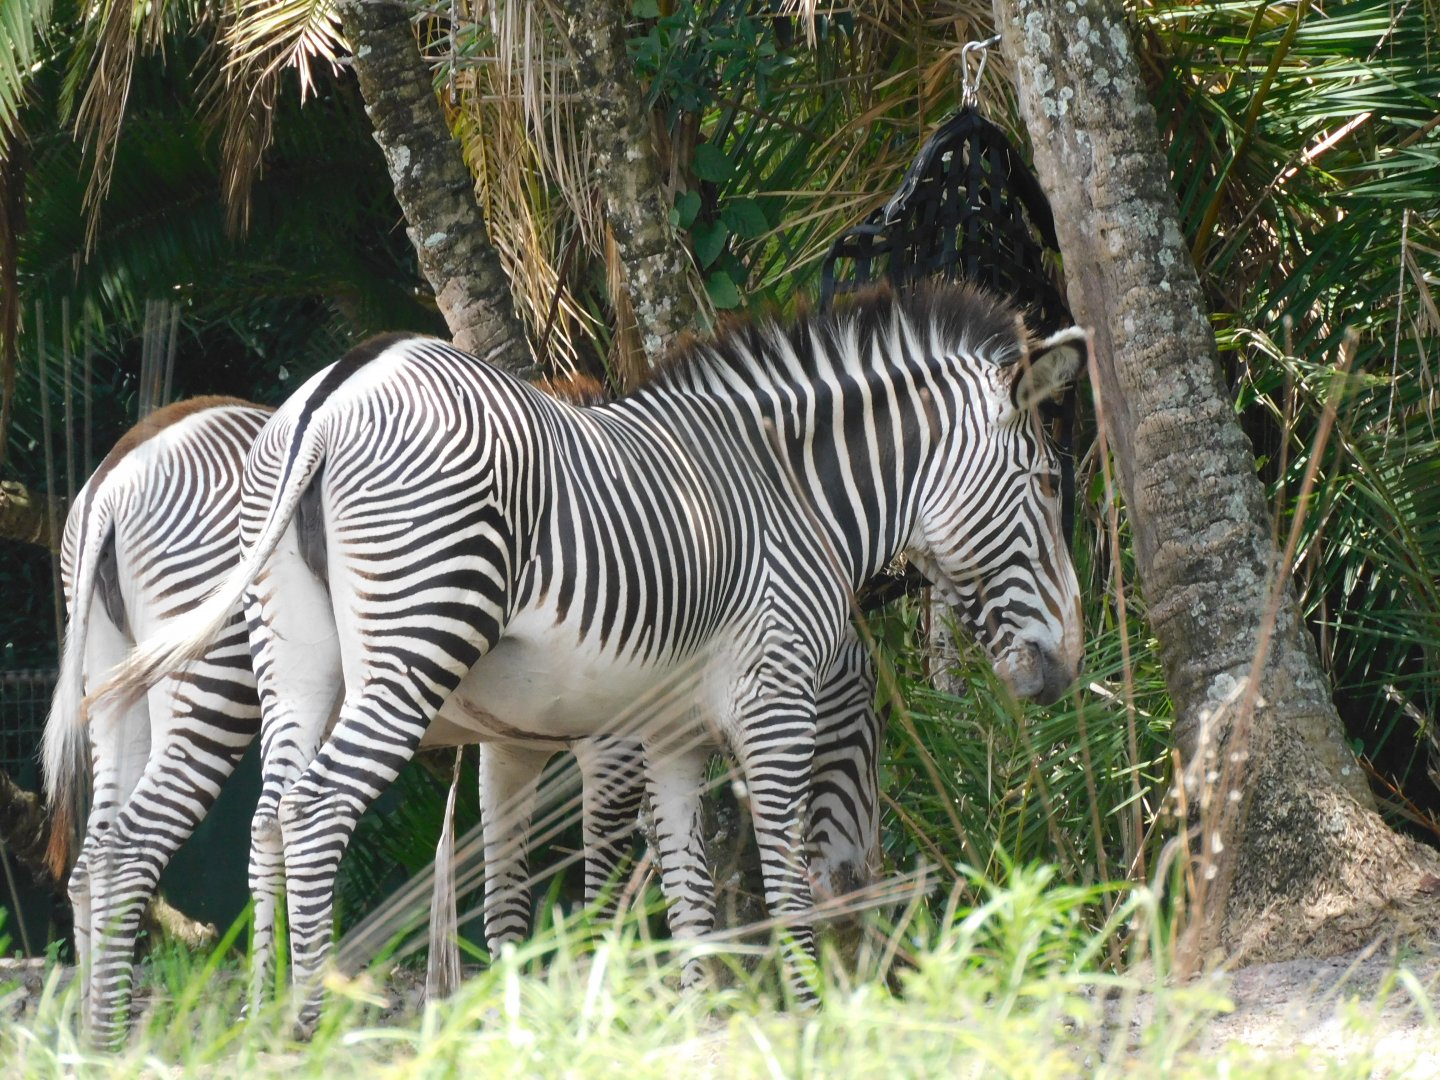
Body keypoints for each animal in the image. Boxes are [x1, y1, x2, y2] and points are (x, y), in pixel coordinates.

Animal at [106, 281, 1084, 1032]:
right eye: (1044, 483)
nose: (1067, 668)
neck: (793, 493)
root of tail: (331, 391)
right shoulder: (771, 703)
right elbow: (764, 876)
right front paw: (808, 1016)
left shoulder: (669, 734)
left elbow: (685, 889)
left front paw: (695, 1020)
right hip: (406, 639)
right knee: (305, 812)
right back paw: (310, 1026)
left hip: (290, 665)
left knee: (254, 819)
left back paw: (226, 1024)